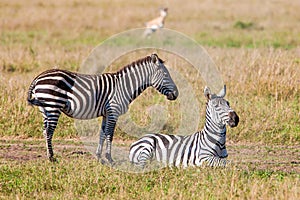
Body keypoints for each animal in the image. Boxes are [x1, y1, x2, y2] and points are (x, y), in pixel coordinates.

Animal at [27, 54, 178, 163]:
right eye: (166, 75)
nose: (176, 94)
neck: (124, 87)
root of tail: (37, 78)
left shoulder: (106, 113)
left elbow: (102, 134)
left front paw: (99, 157)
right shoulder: (113, 111)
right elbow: (110, 135)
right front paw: (109, 158)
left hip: (45, 109)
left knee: (44, 131)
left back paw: (50, 155)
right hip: (53, 106)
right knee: (49, 132)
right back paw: (51, 157)